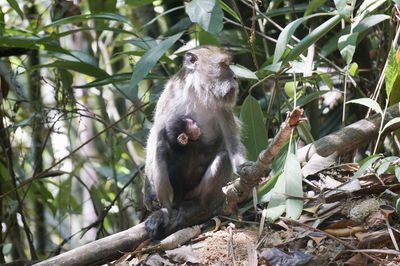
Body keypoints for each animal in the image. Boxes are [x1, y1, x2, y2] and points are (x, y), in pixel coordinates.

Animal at [142, 46, 245, 237]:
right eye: (224, 65)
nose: (235, 77)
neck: (198, 91)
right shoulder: (171, 94)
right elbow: (156, 132)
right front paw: (148, 192)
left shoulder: (222, 106)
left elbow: (231, 138)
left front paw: (242, 165)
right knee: (160, 147)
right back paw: (165, 211)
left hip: (196, 192)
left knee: (222, 158)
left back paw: (200, 205)